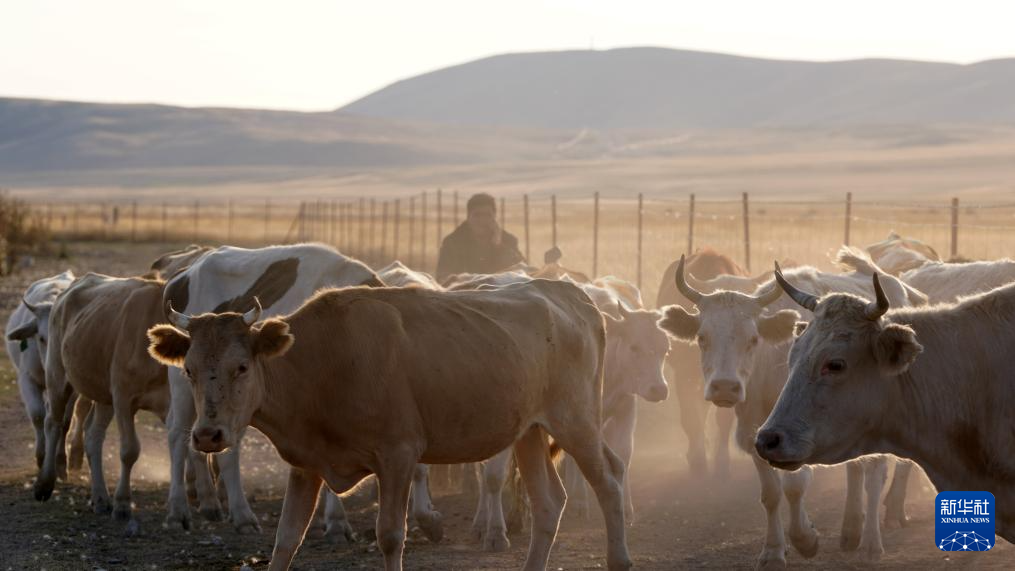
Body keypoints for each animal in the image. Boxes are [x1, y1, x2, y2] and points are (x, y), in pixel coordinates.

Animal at [148, 281, 633, 571]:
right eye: (189, 370)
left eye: (242, 366)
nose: (208, 435)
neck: (323, 364)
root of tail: (569, 293)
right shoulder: (306, 465)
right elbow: (286, 539)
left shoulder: (398, 456)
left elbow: (389, 536)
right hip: (529, 432)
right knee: (549, 503)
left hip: (576, 422)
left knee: (609, 482)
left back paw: (620, 559)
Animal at [657, 254, 921, 567]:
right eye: (701, 338)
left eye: (753, 339)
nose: (724, 387)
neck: (770, 366)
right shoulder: (756, 433)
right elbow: (771, 493)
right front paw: (773, 551)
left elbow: (795, 486)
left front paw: (805, 539)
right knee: (855, 469)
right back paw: (850, 532)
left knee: (874, 474)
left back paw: (870, 542)